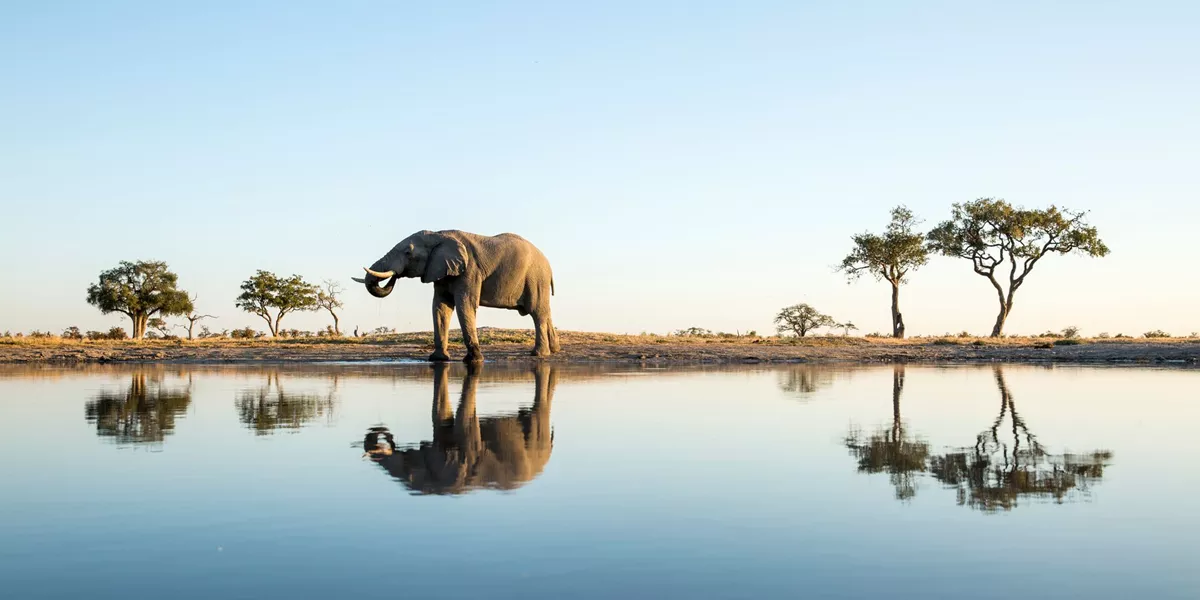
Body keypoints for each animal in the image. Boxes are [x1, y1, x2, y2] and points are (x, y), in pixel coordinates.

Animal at [352, 229, 560, 362]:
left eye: (408, 253)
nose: (395, 275)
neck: (439, 235)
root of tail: (549, 265)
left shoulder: (469, 271)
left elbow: (464, 305)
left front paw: (474, 360)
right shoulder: (440, 271)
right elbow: (440, 307)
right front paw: (438, 359)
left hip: (536, 278)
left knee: (537, 313)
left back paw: (538, 354)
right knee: (545, 312)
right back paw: (554, 350)